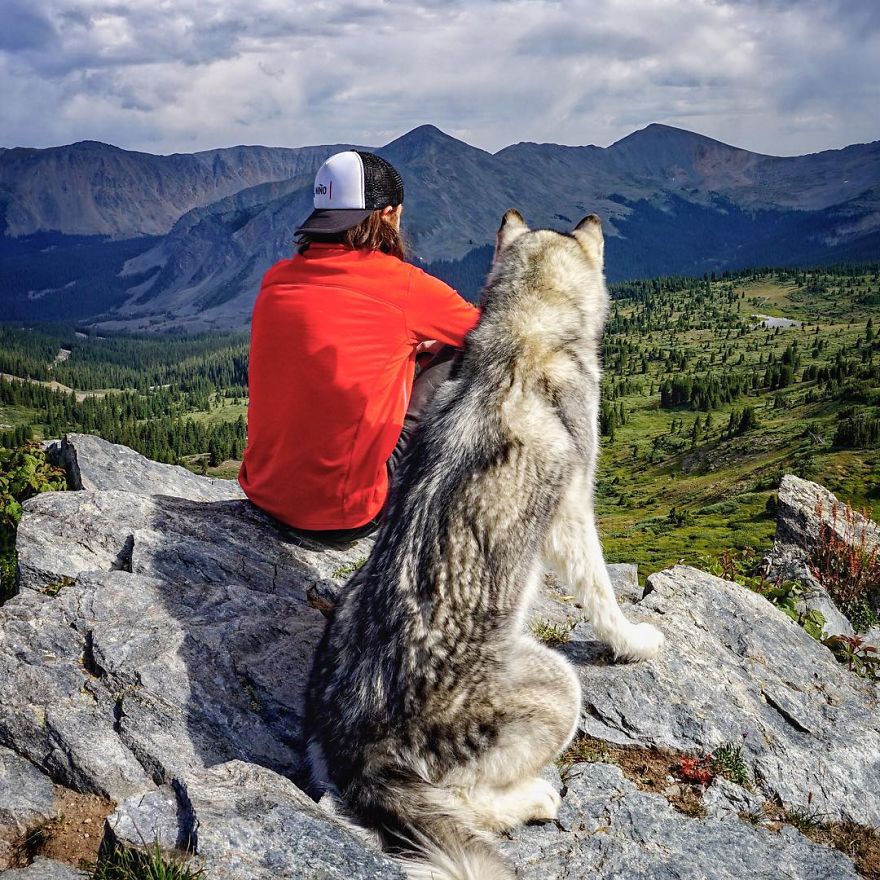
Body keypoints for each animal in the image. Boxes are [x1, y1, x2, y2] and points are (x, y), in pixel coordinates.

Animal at [306, 210, 664, 876]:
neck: (525, 330)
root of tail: (363, 751)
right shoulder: (572, 511)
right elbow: (602, 593)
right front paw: (632, 641)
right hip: (559, 686)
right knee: (466, 802)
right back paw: (533, 800)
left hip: (345, 610)